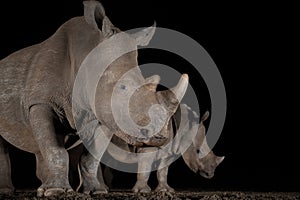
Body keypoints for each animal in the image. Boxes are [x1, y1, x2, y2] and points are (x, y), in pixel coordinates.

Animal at [0, 0, 188, 197]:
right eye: (122, 88)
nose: (159, 137)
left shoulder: (104, 112)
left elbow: (91, 157)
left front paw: (96, 191)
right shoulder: (40, 102)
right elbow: (55, 149)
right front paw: (56, 190)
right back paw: (11, 190)